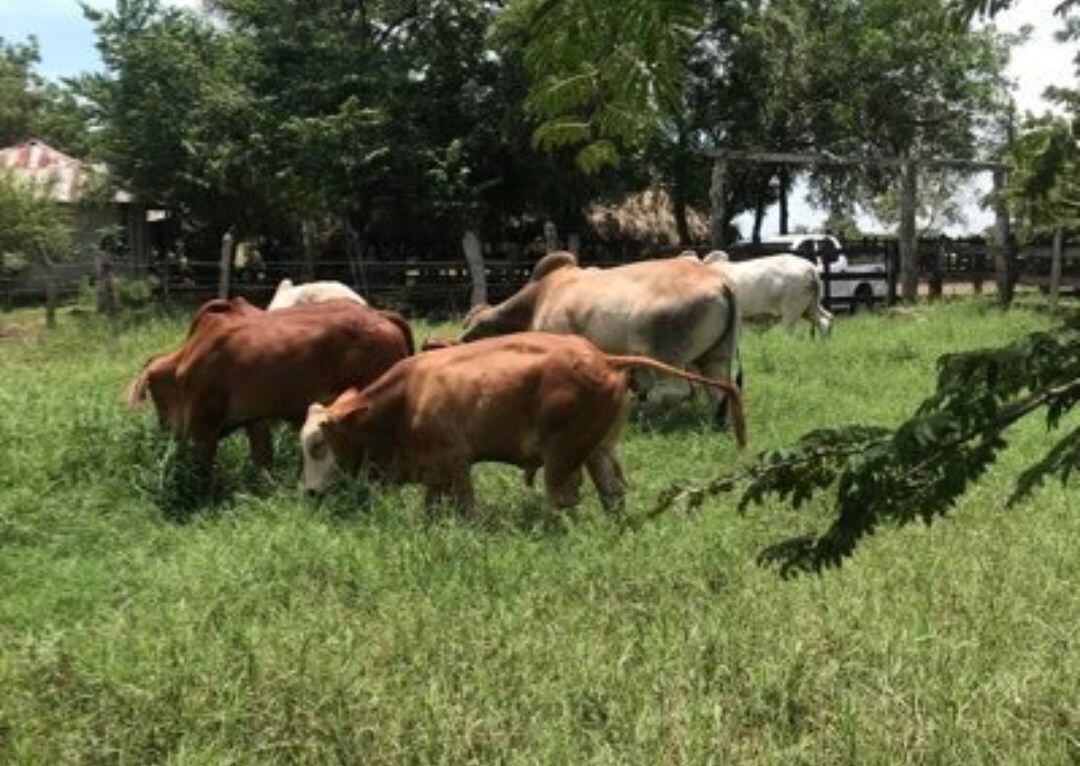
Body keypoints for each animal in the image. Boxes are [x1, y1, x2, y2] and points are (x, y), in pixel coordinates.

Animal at [126, 298, 413, 481]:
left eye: (154, 395)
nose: (163, 428)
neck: (188, 357)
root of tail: (381, 316)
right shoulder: (256, 420)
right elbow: (262, 459)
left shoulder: (203, 426)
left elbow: (203, 469)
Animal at [299, 333, 747, 513]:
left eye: (318, 445)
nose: (309, 493)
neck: (409, 394)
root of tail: (602, 357)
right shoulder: (433, 469)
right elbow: (432, 505)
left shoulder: (455, 461)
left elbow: (466, 507)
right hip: (598, 450)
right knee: (612, 494)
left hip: (562, 455)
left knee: (562, 498)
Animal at [460, 252, 741, 427]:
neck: (540, 296)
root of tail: (720, 282)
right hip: (714, 356)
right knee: (720, 391)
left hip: (663, 358)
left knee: (678, 390)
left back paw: (643, 415)